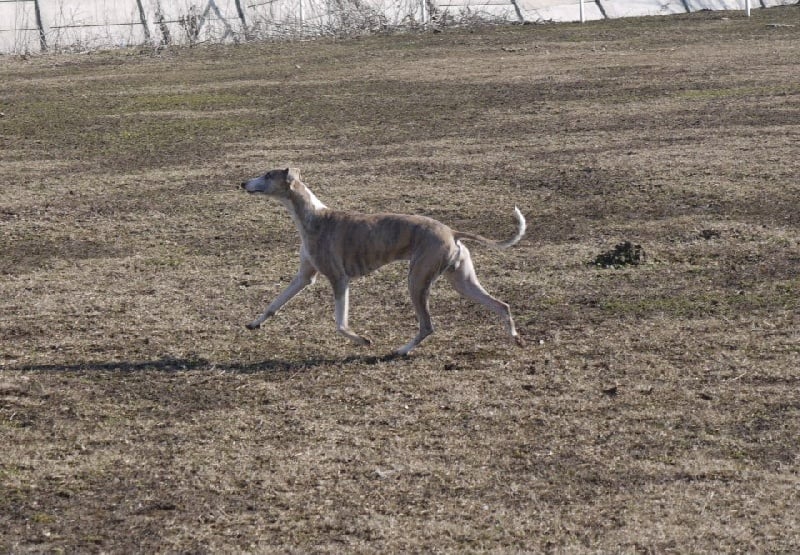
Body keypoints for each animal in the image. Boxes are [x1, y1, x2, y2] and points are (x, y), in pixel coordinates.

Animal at [241, 168, 526, 355]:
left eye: (267, 175)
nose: (243, 183)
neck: (313, 216)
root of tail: (452, 232)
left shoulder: (339, 279)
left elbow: (340, 324)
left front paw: (363, 340)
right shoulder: (304, 276)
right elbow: (274, 304)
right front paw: (255, 323)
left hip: (417, 280)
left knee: (427, 326)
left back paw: (401, 350)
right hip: (462, 281)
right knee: (502, 305)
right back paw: (515, 338)